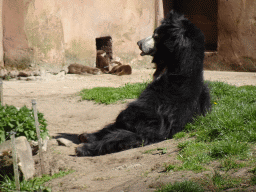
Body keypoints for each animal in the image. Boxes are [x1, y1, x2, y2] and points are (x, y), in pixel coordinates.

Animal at [75, 10, 210, 156]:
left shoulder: (154, 93)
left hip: (138, 115)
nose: (138, 42)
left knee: (116, 127)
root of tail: (157, 132)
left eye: (155, 35)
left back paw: (84, 143)